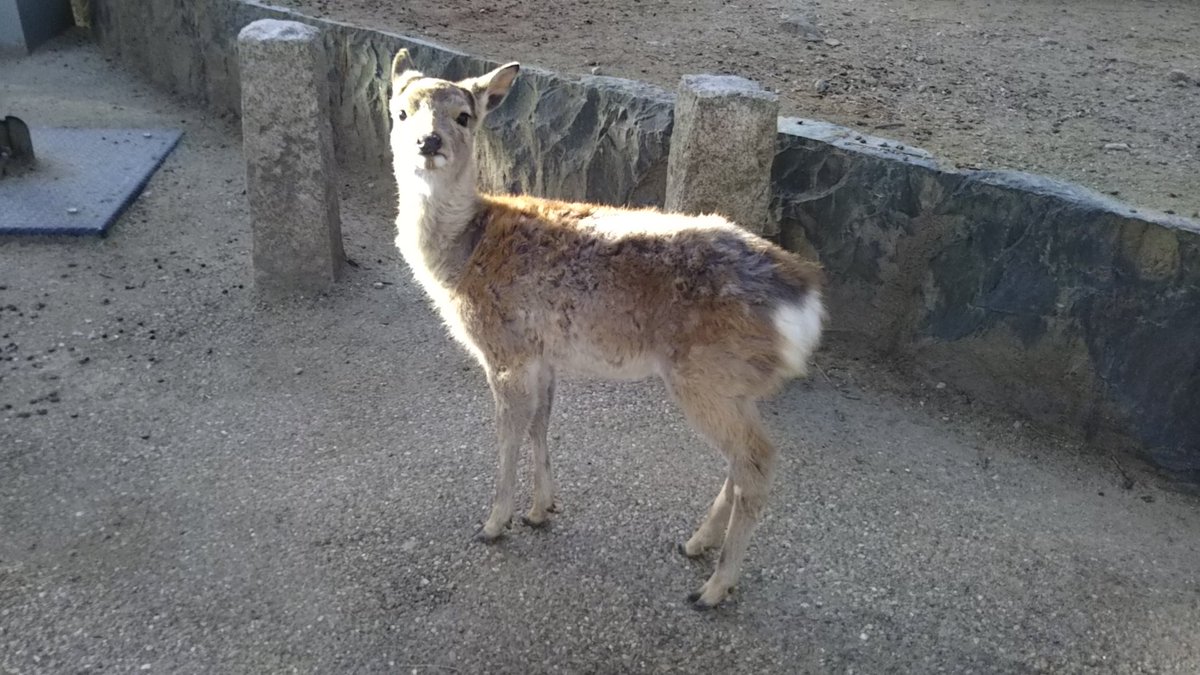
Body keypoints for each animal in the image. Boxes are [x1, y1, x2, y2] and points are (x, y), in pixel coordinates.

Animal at [387, 49, 825, 609]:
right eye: (401, 112)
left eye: (464, 116)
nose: (429, 142)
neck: (462, 256)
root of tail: (805, 301)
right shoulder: (543, 354)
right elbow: (540, 426)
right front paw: (540, 510)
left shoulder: (505, 348)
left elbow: (508, 434)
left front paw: (493, 523)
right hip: (734, 383)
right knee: (743, 461)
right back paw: (695, 545)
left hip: (704, 375)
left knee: (757, 459)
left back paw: (713, 587)